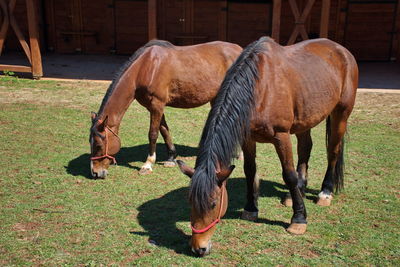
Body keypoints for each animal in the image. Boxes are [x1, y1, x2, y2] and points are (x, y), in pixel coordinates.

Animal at [89, 39, 242, 178]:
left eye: (98, 146)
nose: (95, 173)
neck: (146, 67)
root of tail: (239, 49)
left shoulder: (157, 105)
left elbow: (153, 134)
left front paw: (148, 164)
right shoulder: (154, 107)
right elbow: (164, 130)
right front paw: (171, 158)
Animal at [177, 36, 358, 258]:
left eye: (212, 204)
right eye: (189, 201)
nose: (198, 248)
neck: (259, 88)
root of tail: (341, 49)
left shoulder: (281, 137)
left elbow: (288, 175)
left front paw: (299, 220)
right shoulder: (248, 138)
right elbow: (250, 171)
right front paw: (251, 208)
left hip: (341, 113)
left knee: (333, 151)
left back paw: (325, 192)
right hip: (305, 120)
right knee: (305, 149)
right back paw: (295, 193)